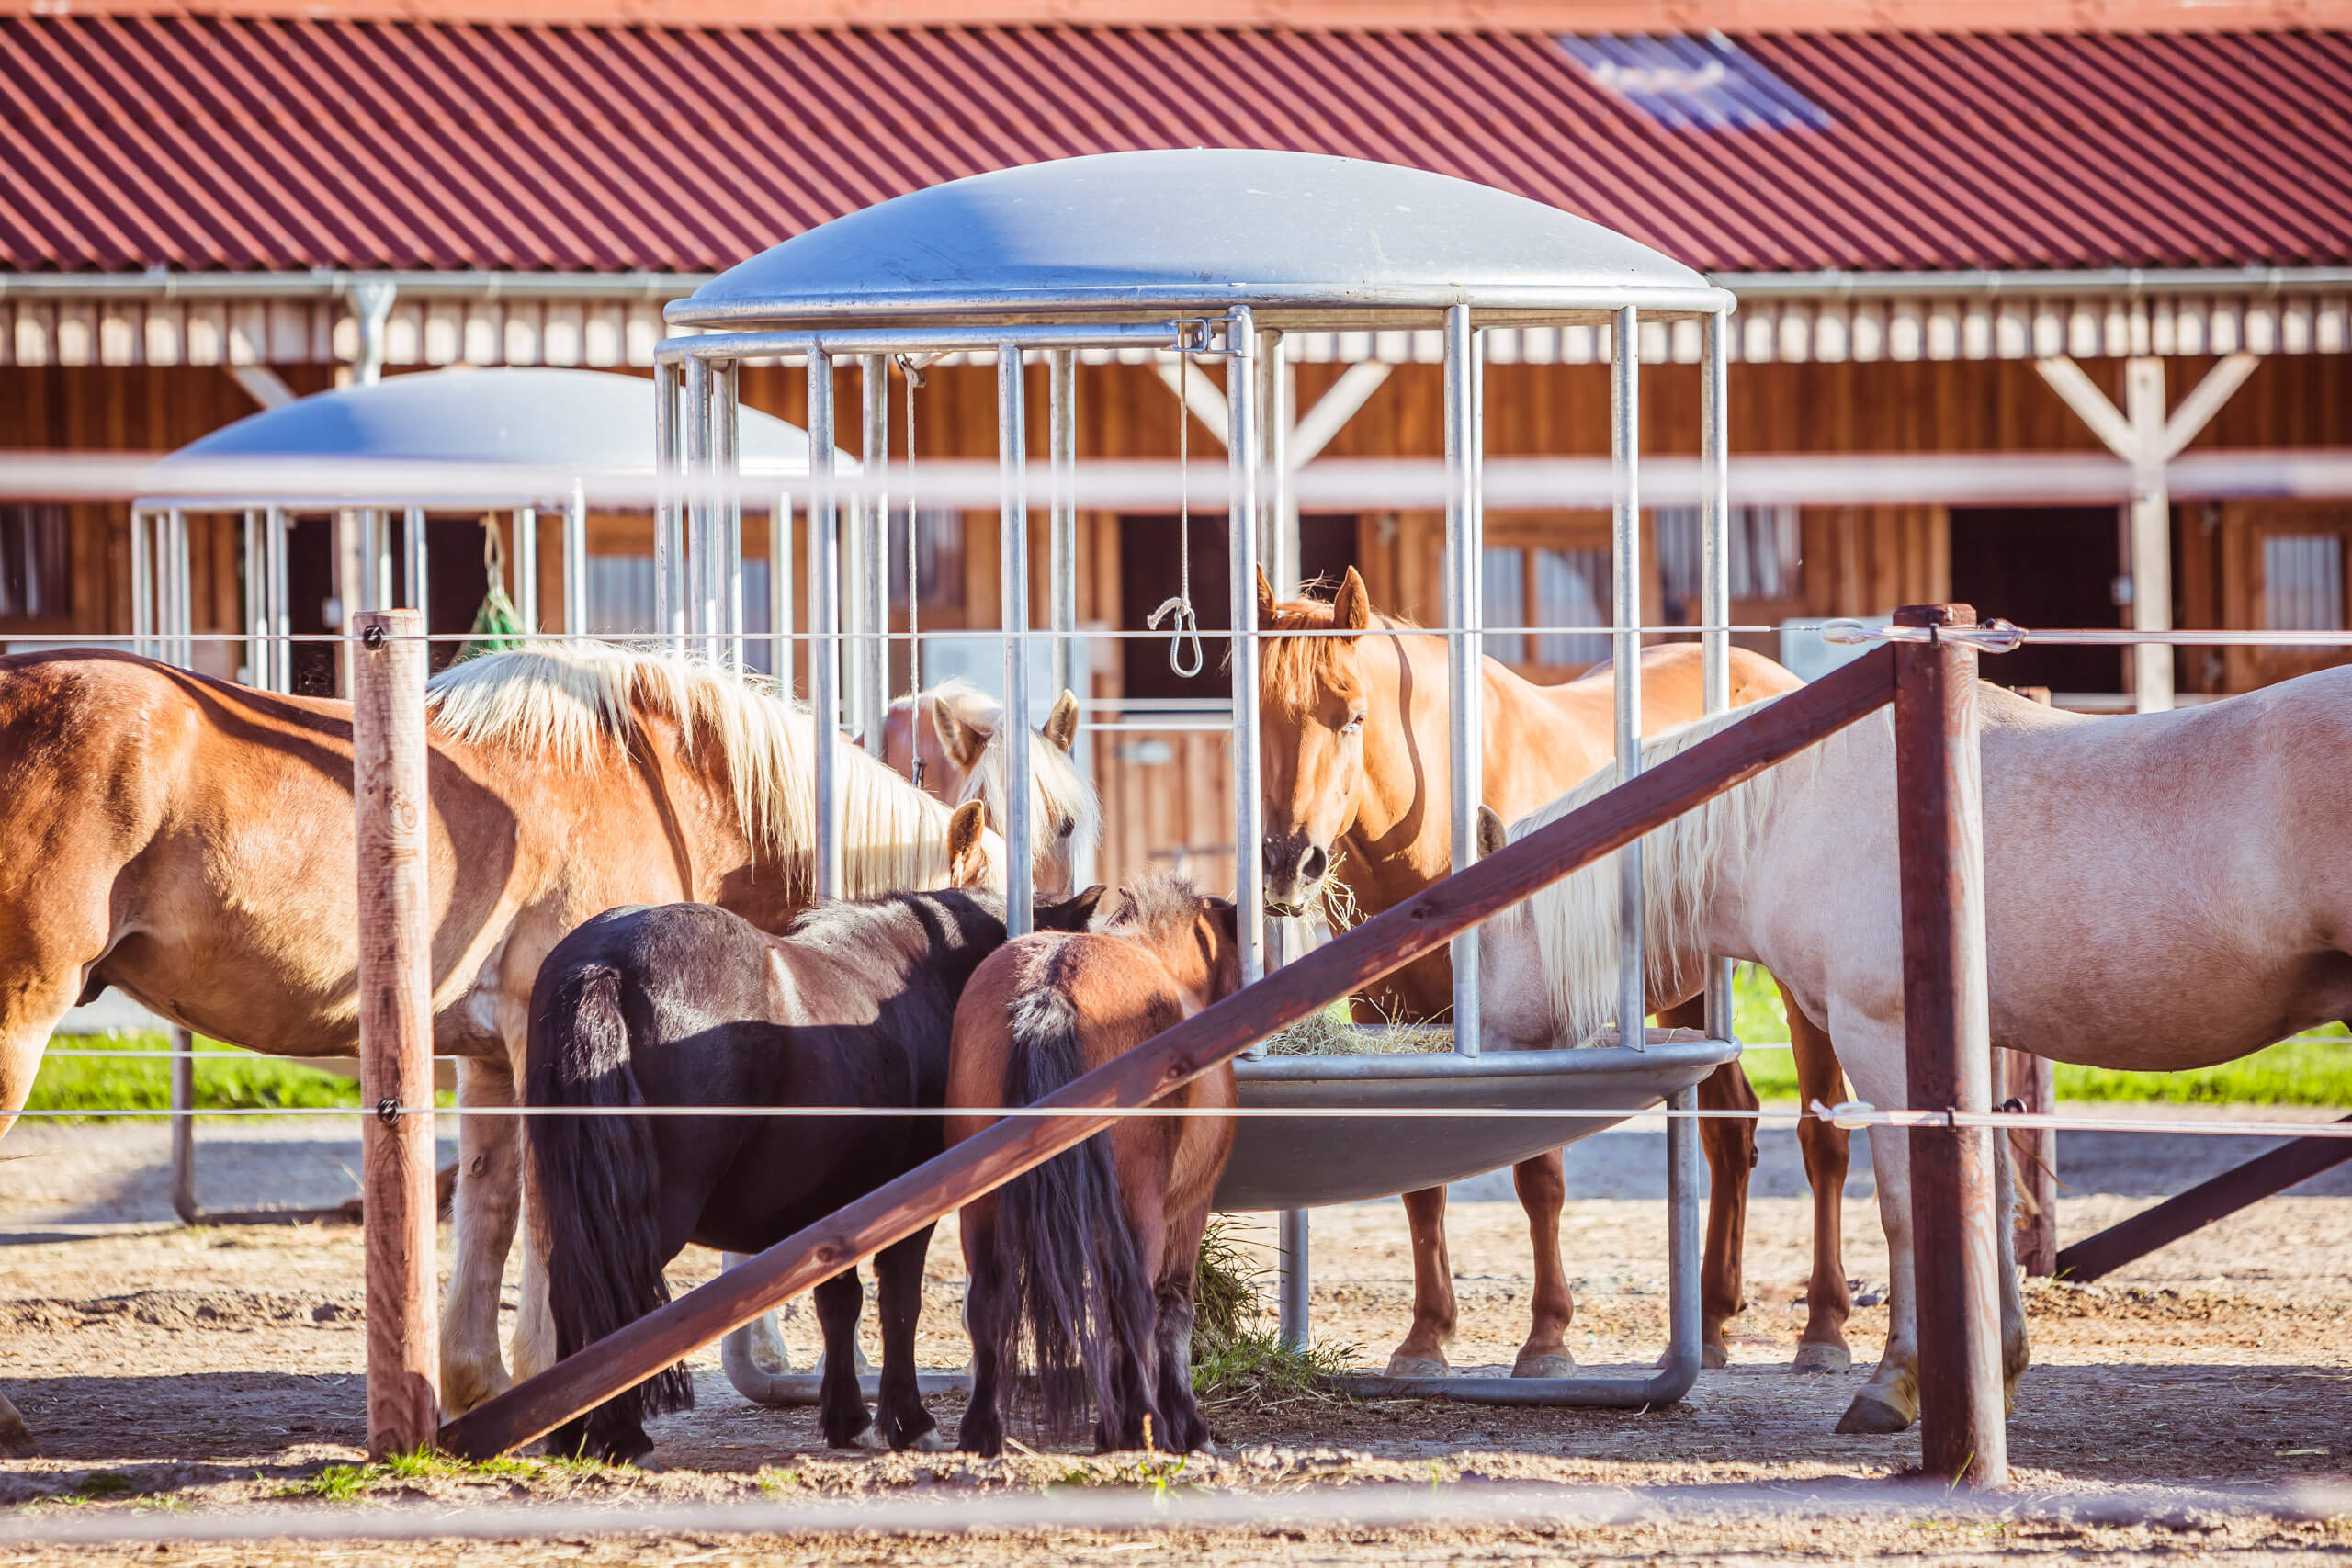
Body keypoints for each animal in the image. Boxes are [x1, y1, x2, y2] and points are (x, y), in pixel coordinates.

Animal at [0, 644, 1001, 1457]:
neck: (656, 777)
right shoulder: (540, 1044)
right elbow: (550, 1216)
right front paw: (565, 1383)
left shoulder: (488, 1054)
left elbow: (487, 1209)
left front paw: (481, 1385)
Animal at [524, 841, 1101, 1466]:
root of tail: (602, 963)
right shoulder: (908, 1205)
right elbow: (899, 1302)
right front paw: (909, 1421)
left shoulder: (827, 1210)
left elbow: (839, 1303)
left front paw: (847, 1418)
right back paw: (621, 1435)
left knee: (571, 1282)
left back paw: (569, 1432)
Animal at [941, 869, 1241, 1457]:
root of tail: (1054, 981)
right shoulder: (1188, 1211)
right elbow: (1173, 1309)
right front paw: (1186, 1424)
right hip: (1137, 1207)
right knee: (1133, 1300)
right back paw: (1143, 1424)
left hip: (982, 1209)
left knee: (987, 1300)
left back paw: (982, 1430)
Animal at [1250, 570, 1853, 1382]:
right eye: (1257, 719)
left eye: (1354, 716)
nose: (1290, 863)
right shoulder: (1394, 1022)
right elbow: (1421, 1185)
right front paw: (1424, 1338)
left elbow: (1538, 1179)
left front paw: (1545, 1339)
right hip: (1691, 989)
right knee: (1730, 1135)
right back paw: (1710, 1323)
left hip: (1799, 991)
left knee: (1824, 1140)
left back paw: (1824, 1327)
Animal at [1476, 671, 2352, 1438]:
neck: (1795, 812)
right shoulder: (1976, 1041)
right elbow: (1990, 1196)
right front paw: (1996, 1369)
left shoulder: (1881, 1038)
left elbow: (1904, 1209)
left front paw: (1893, 1383)